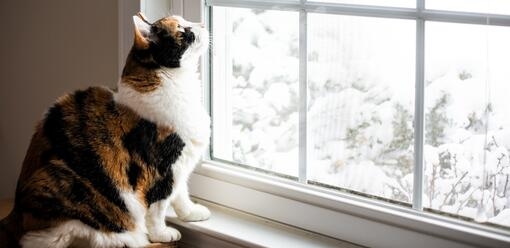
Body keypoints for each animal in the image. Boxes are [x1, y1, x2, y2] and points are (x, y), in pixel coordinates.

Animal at [0, 12, 211, 247]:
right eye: (183, 31)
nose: (203, 24)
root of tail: (13, 215)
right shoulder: (161, 169)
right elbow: (158, 207)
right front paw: (162, 234)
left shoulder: (180, 164)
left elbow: (181, 193)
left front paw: (191, 213)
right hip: (61, 187)